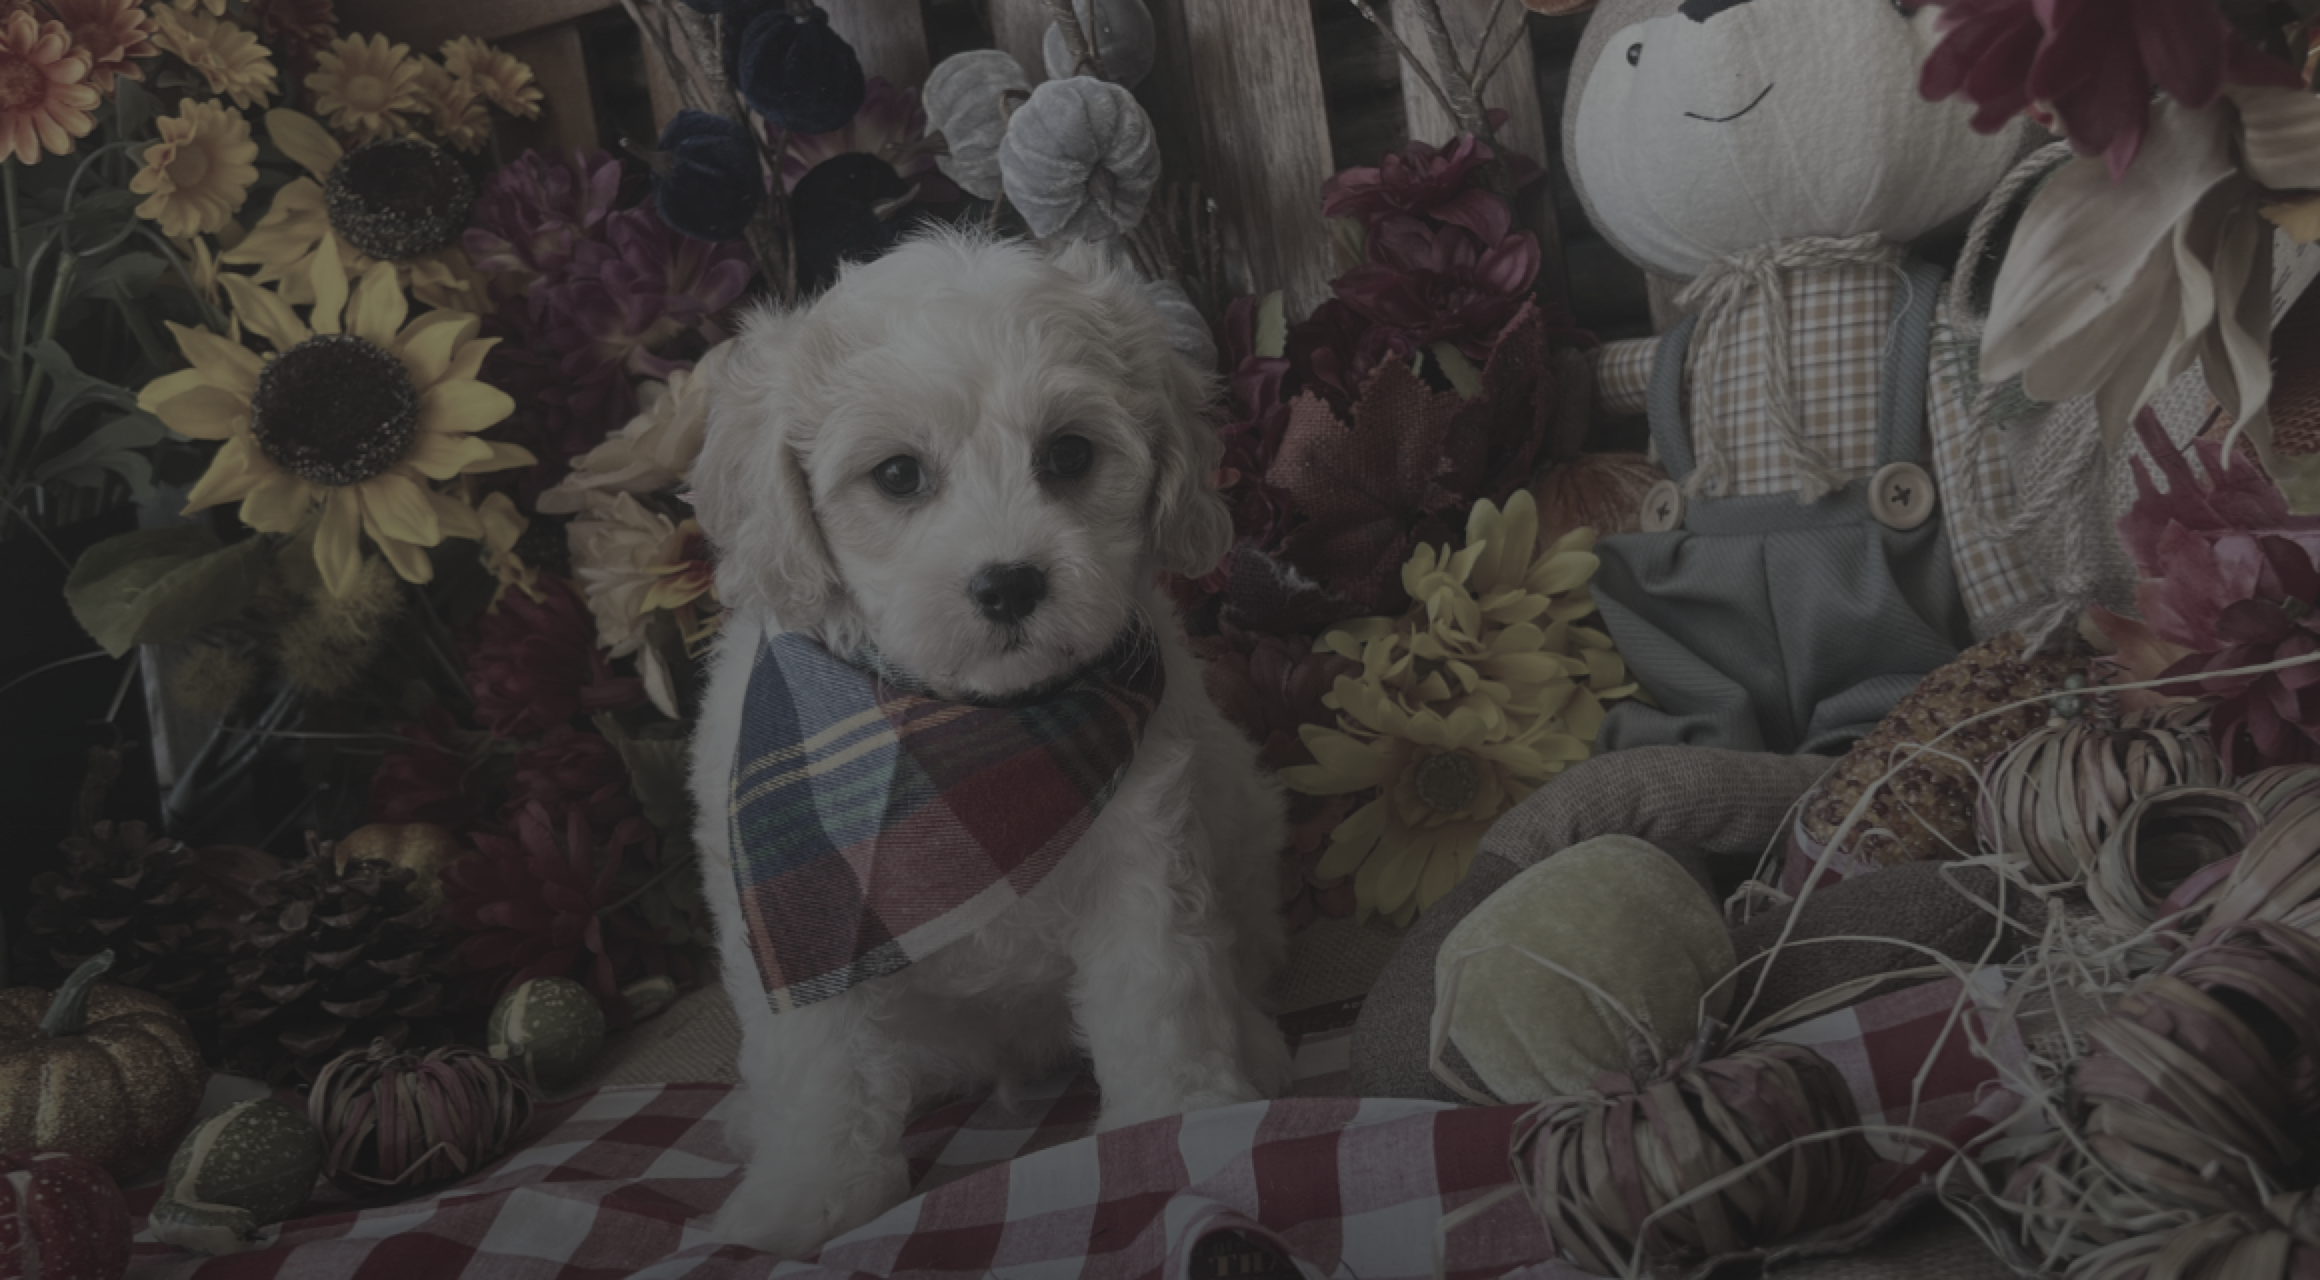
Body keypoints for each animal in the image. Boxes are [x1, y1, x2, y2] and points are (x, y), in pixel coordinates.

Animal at [686, 224, 1299, 1252]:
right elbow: (819, 1063)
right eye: (898, 475)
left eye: (1068, 454)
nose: (1009, 584)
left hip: (1247, 828)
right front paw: (805, 1198)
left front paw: (1177, 1120)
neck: (972, 733)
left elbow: (1159, 994)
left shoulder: (1144, 851)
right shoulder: (799, 908)